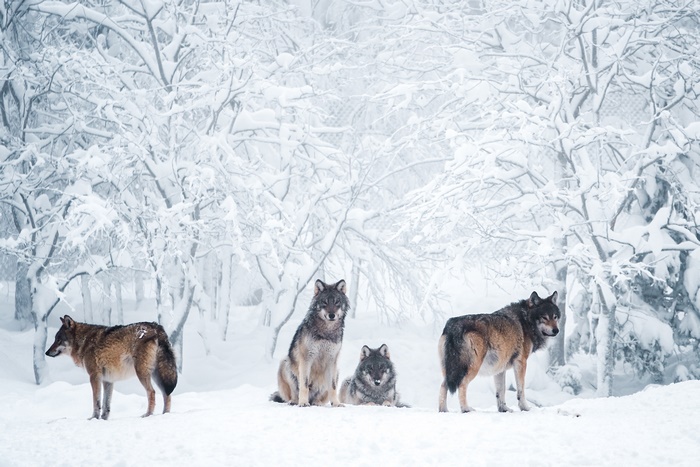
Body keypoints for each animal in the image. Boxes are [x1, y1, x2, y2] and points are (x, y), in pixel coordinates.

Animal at [45, 315, 177, 420]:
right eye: (55, 339)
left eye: (58, 340)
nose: (46, 352)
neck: (84, 342)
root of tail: (157, 327)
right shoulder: (107, 380)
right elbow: (106, 404)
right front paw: (104, 419)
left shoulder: (94, 377)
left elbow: (96, 401)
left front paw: (93, 418)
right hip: (158, 374)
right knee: (167, 394)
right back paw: (165, 414)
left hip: (142, 373)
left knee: (152, 392)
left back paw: (148, 415)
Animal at [270, 279, 349, 407]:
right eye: (324, 302)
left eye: (337, 302)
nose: (331, 315)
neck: (326, 332)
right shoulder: (306, 358)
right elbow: (304, 384)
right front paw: (303, 402)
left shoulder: (332, 360)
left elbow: (332, 386)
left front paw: (336, 404)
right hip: (285, 362)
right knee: (293, 395)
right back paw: (295, 401)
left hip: (337, 371)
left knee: (319, 397)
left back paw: (317, 403)